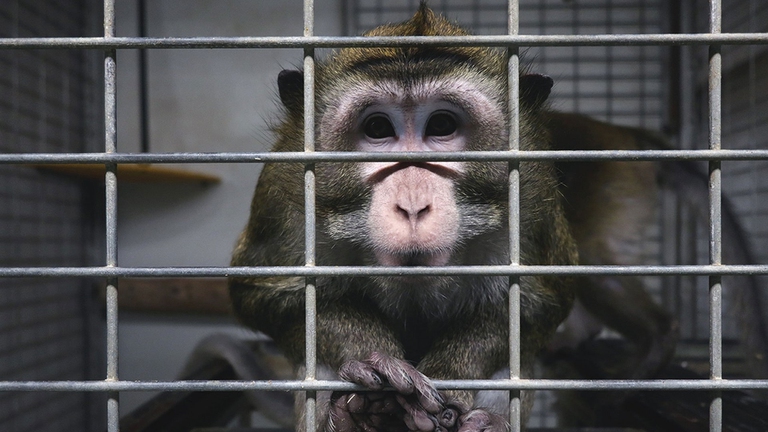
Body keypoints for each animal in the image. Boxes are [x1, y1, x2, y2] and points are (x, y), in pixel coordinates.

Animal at [229, 4, 578, 432]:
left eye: (442, 125)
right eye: (378, 128)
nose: (412, 206)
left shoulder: (533, 194)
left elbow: (540, 303)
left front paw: (451, 378)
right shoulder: (284, 193)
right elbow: (262, 293)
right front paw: (372, 363)